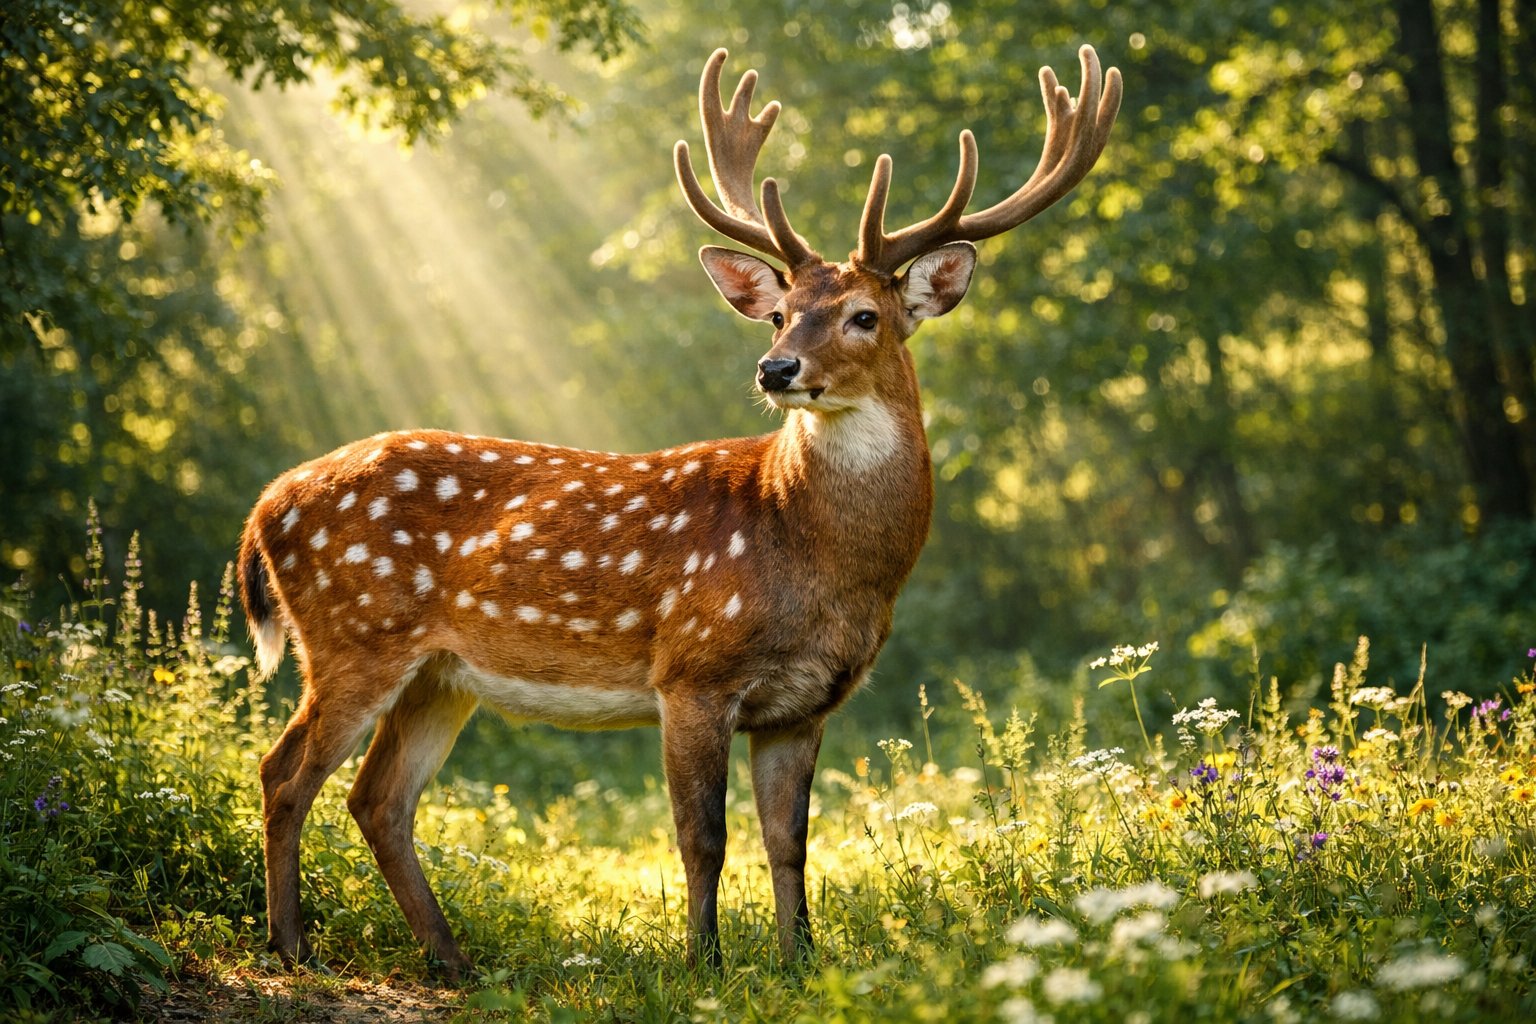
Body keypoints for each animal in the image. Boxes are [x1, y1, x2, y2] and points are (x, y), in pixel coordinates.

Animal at [237, 44, 1120, 977]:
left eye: (863, 315)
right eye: (778, 313)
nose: (776, 368)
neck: (821, 562)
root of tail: (266, 507)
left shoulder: (805, 703)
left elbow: (790, 842)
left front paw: (800, 962)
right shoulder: (692, 670)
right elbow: (704, 837)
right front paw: (705, 964)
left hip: (439, 674)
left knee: (378, 799)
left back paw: (453, 959)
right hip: (354, 634)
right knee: (284, 771)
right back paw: (290, 945)